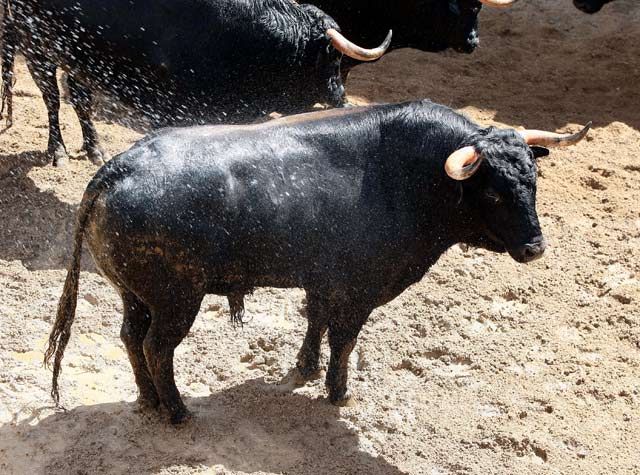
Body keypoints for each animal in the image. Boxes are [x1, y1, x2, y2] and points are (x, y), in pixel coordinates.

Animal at [0, 0, 392, 167]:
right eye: (334, 59)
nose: (343, 100)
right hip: (36, 41)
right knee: (52, 97)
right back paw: (58, 151)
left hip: (79, 55)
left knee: (80, 99)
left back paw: (94, 148)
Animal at [42, 99, 592, 424]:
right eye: (494, 194)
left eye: (533, 182)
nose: (535, 248)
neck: (408, 177)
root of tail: (116, 168)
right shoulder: (360, 289)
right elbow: (343, 338)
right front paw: (339, 391)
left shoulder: (323, 280)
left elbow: (317, 322)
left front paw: (305, 369)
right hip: (177, 299)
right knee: (157, 347)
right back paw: (177, 411)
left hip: (134, 294)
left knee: (131, 338)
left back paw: (149, 401)